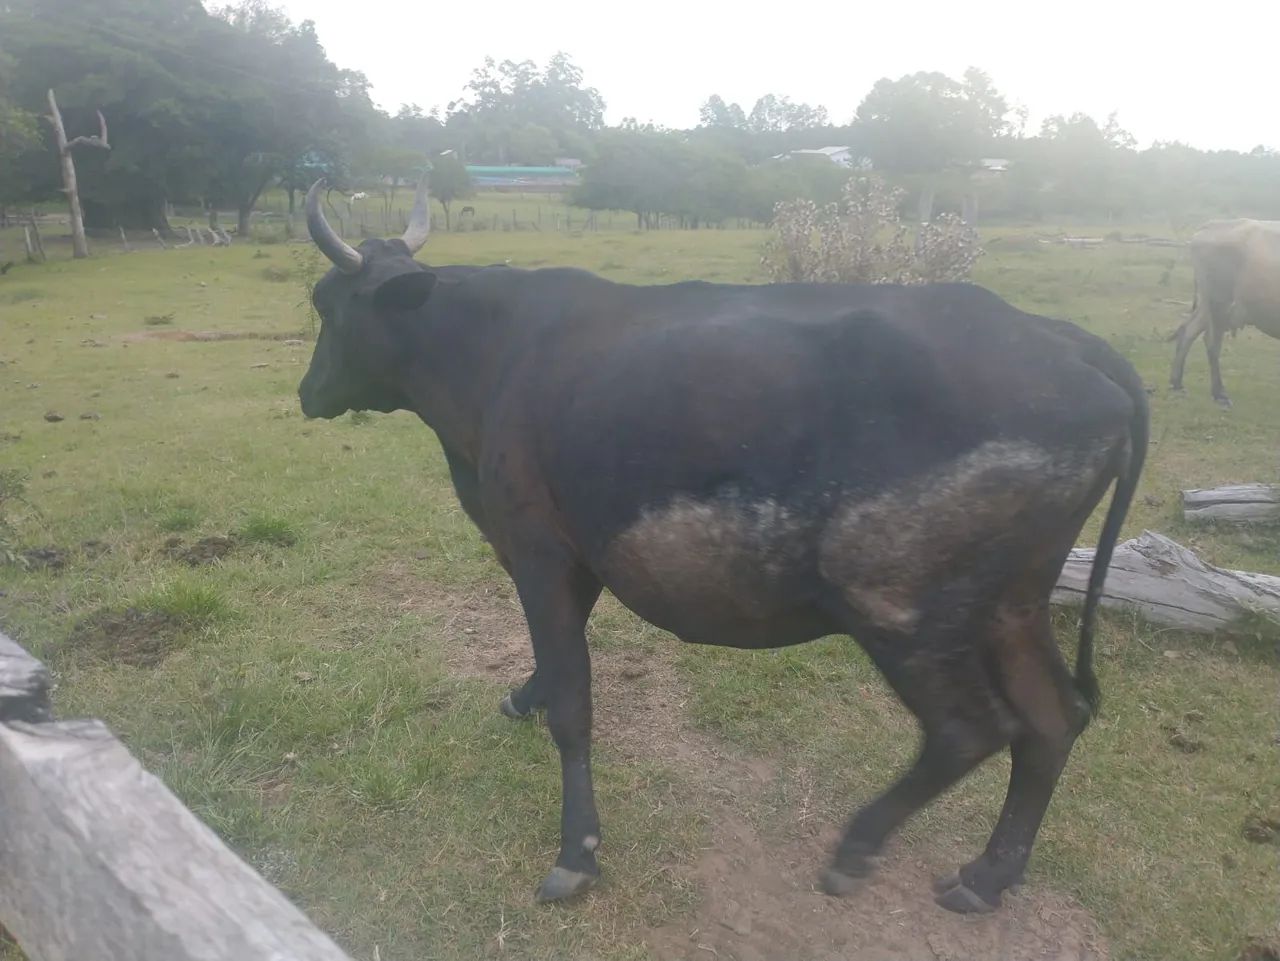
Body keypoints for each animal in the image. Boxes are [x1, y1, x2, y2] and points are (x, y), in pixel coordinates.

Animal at [297, 177, 1148, 914]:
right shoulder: (583, 551)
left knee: (972, 728)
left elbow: (575, 704)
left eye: (325, 303)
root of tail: (1064, 340)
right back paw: (988, 875)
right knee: (1054, 718)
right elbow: (553, 667)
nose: (306, 392)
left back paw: (858, 847)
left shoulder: (538, 549)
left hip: (896, 599)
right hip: (1015, 600)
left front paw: (577, 852)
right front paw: (523, 694)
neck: (493, 357)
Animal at [1169, 219, 1280, 406]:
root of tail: (1210, 226)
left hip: (1208, 304)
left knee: (1189, 330)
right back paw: (1219, 393)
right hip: (1219, 302)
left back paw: (1177, 382)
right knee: (1212, 342)